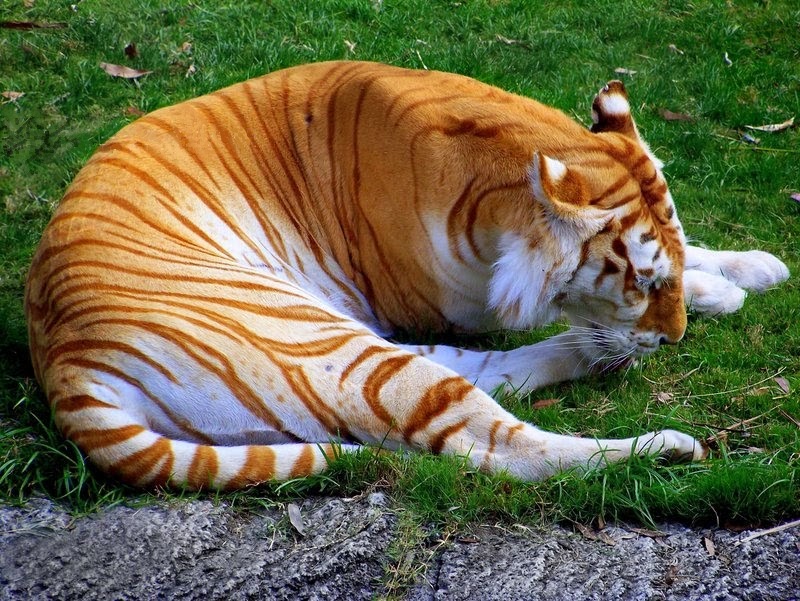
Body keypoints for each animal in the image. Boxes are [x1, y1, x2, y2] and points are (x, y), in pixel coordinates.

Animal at [24, 61, 789, 490]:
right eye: (641, 283)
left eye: (662, 270)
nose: (673, 341)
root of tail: (64, 365)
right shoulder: (455, 299)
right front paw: (717, 291)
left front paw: (751, 267)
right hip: (317, 339)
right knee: (496, 446)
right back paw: (664, 447)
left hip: (338, 342)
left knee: (491, 376)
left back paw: (593, 358)